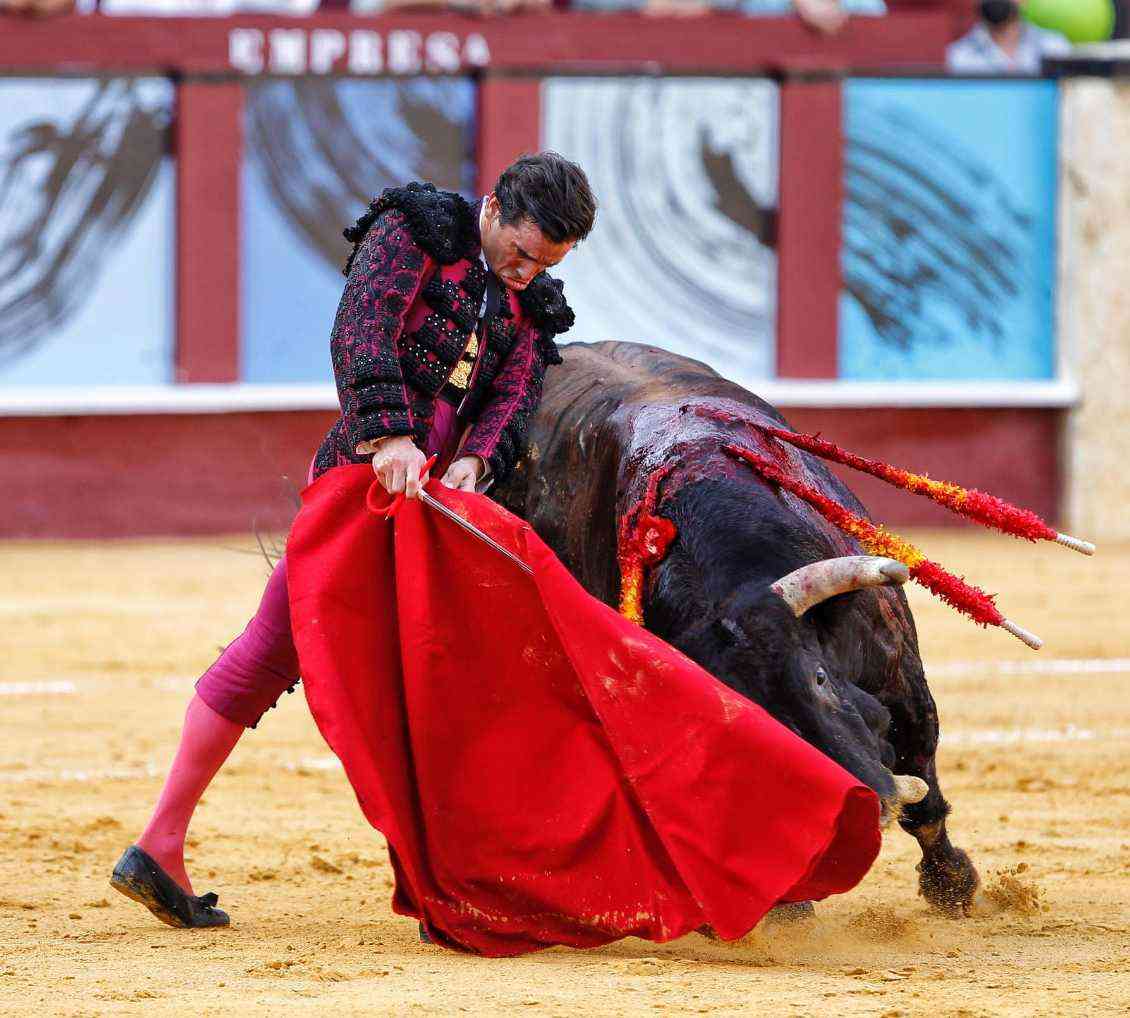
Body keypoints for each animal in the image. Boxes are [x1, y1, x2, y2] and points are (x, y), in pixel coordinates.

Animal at [494, 340, 979, 914]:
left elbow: (923, 793)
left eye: (819, 678)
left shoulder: (902, 682)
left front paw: (953, 887)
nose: (862, 804)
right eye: (749, 723)